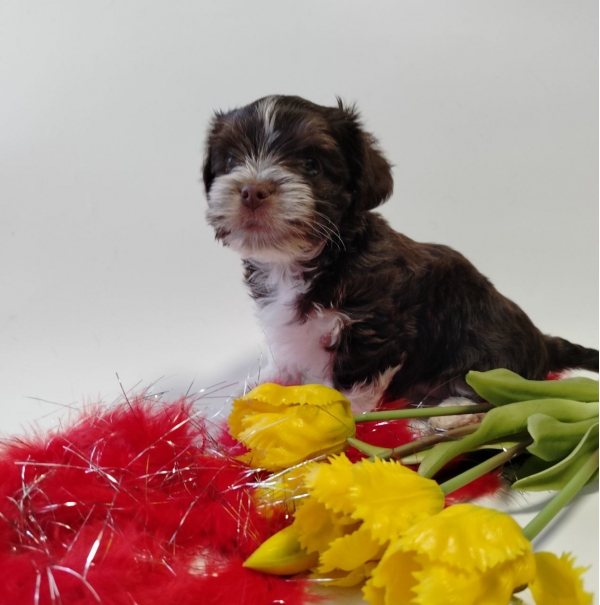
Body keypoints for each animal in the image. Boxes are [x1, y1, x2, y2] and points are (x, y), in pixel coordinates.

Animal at [202, 95, 598, 413]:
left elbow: (352, 384)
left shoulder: (377, 329)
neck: (304, 259)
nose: (252, 190)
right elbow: (284, 357)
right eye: (231, 160)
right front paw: (258, 390)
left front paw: (344, 422)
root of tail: (543, 341)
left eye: (311, 165)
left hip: (489, 351)